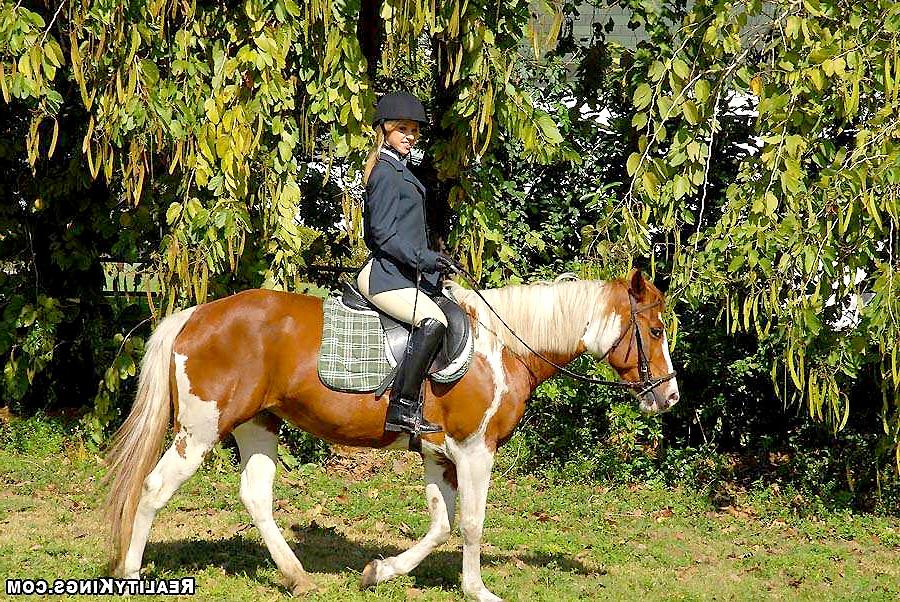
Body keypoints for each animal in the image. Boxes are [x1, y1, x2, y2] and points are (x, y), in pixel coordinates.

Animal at [104, 268, 679, 602]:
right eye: (654, 331)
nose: (669, 397)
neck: (502, 347)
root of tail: (194, 315)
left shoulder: (439, 454)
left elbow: (441, 525)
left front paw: (378, 573)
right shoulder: (475, 450)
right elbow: (471, 524)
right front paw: (477, 590)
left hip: (258, 424)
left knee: (256, 495)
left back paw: (297, 577)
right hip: (200, 430)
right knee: (154, 489)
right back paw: (131, 575)